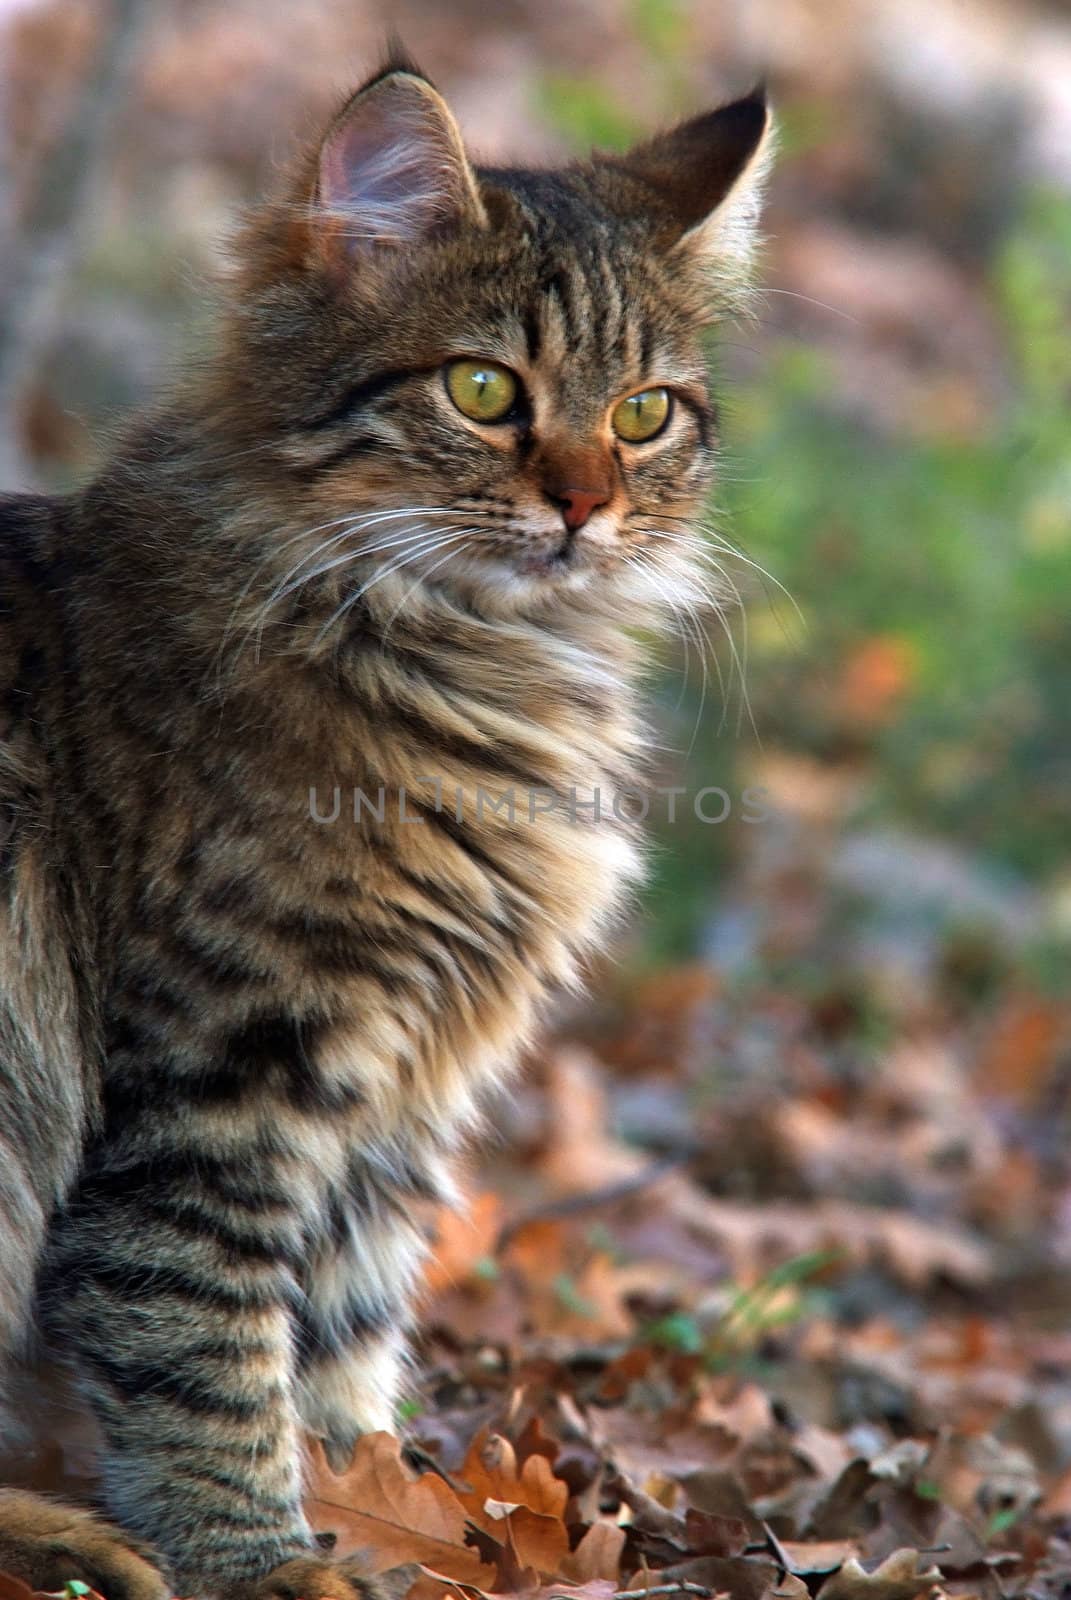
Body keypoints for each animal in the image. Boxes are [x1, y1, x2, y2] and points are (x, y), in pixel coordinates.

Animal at [0, 50, 768, 1600]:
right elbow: (202, 1340)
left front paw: (393, 1510)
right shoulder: (228, 1063)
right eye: (483, 390)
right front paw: (262, 1558)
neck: (479, 673)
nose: (584, 504)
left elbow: (342, 1339)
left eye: (644, 413)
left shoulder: (402, 1088)